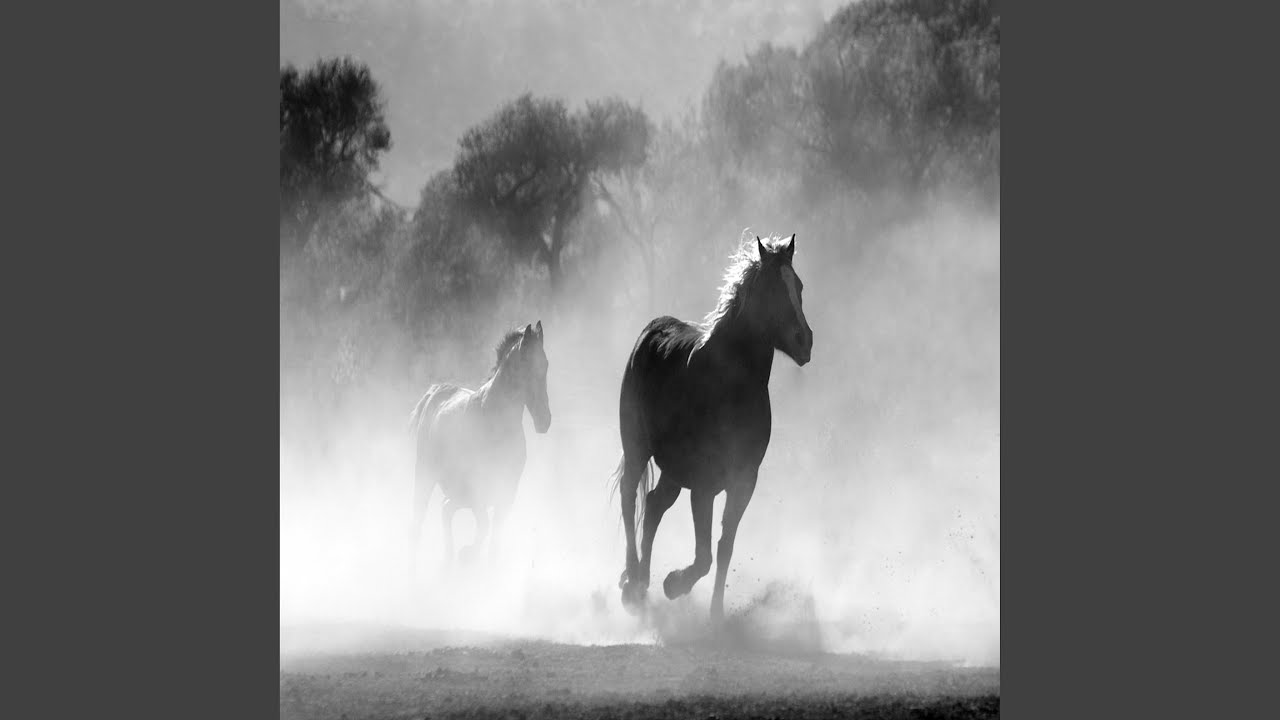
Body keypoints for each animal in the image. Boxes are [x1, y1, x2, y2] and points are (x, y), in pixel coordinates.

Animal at [408, 322, 551, 574]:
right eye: (526, 366)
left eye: (545, 364)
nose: (545, 420)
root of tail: (436, 392)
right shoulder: (477, 490)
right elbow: (483, 526)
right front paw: (467, 555)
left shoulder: (506, 493)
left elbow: (494, 538)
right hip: (426, 475)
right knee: (420, 520)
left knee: (445, 510)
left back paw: (449, 561)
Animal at [612, 233, 813, 623]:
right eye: (771, 289)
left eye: (798, 286)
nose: (804, 341)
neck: (731, 386)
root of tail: (651, 330)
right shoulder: (704, 485)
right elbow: (704, 555)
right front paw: (674, 584)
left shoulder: (743, 481)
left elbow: (723, 547)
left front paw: (716, 614)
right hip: (638, 449)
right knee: (631, 499)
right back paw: (633, 585)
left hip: (674, 471)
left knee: (654, 506)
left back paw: (642, 582)